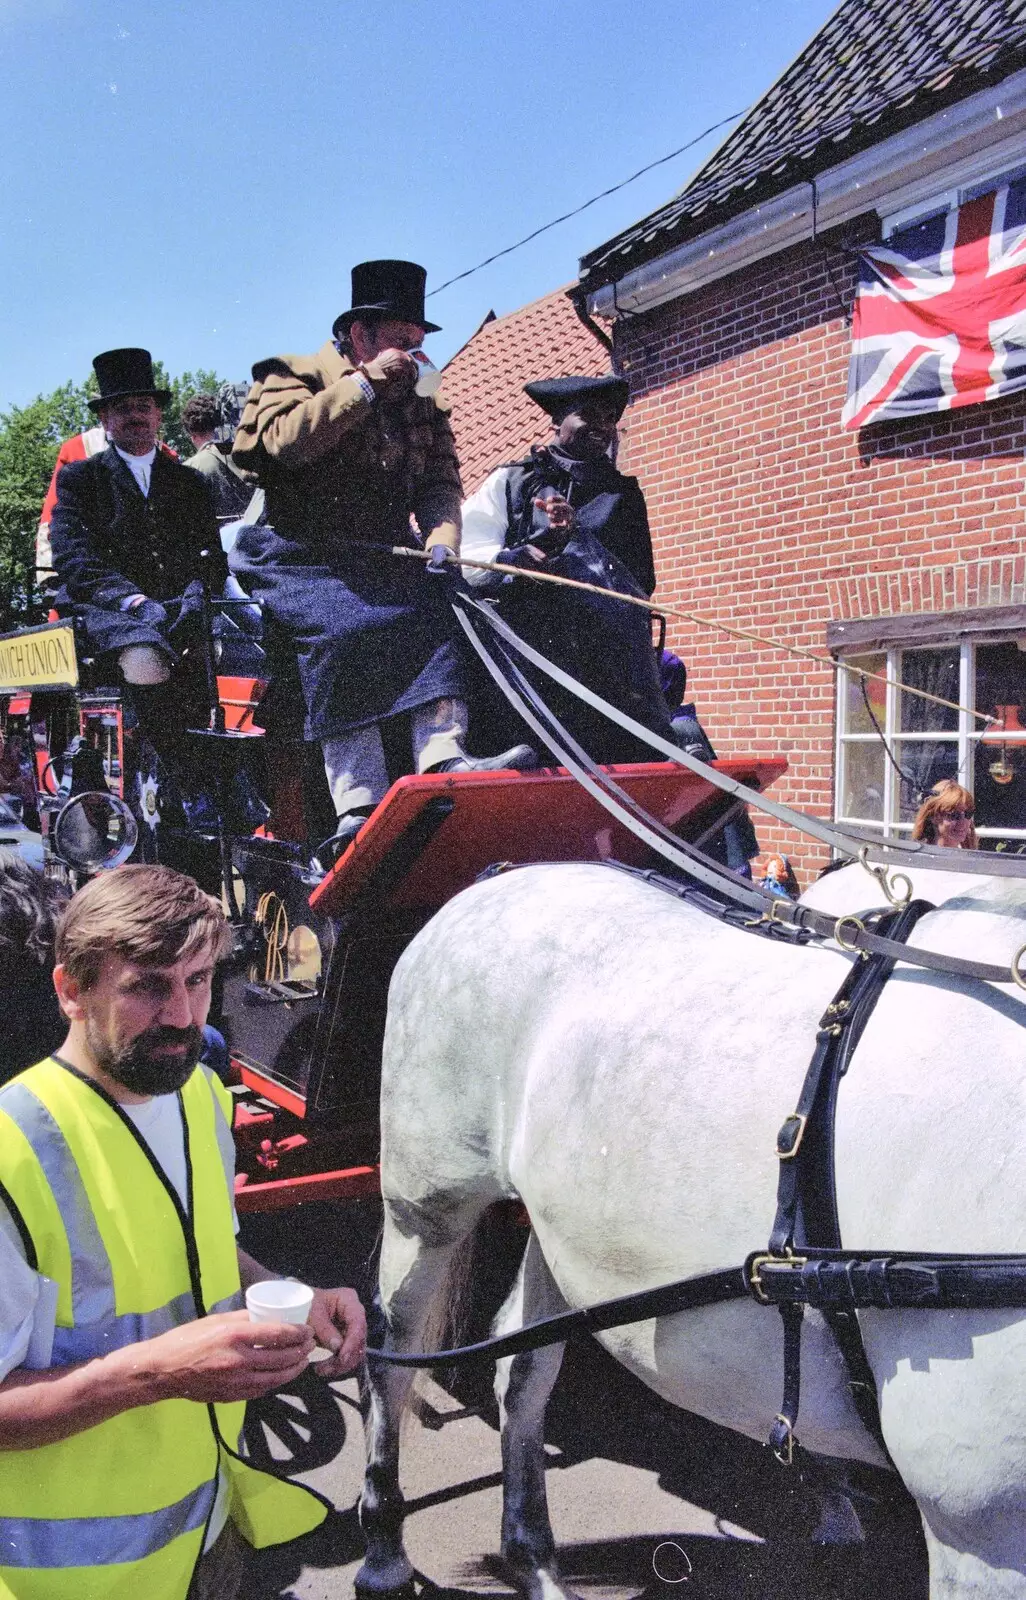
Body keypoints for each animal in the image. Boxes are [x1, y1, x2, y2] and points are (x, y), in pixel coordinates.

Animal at [355, 864, 1024, 1600]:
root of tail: (497, 879)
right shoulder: (978, 1533)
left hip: (562, 1226)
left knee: (522, 1367)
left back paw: (534, 1559)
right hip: (426, 1206)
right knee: (391, 1350)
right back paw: (383, 1548)